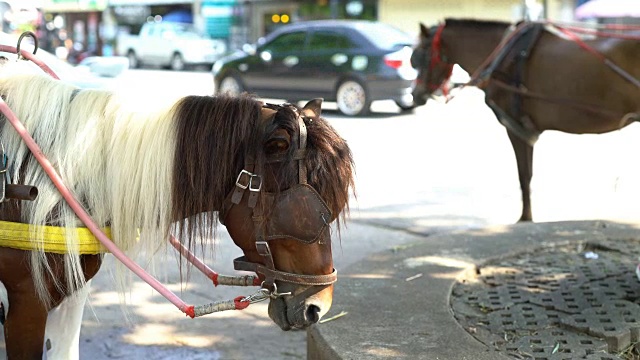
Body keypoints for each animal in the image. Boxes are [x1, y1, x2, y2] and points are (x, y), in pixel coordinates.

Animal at [410, 19, 640, 222]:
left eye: (420, 55)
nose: (415, 95)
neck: (504, 55)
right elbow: (527, 174)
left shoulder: (515, 126)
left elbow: (524, 176)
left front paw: (525, 218)